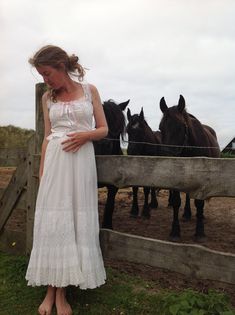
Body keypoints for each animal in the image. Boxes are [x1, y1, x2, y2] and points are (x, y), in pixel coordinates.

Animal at [159, 95, 221, 241]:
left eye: (181, 127)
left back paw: (199, 215)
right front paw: (175, 231)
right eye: (160, 128)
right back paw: (187, 214)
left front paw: (200, 231)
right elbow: (176, 202)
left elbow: (199, 202)